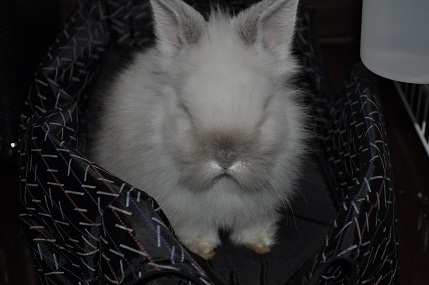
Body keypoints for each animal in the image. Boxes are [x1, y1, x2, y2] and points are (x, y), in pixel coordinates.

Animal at [92, 0, 310, 258]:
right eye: (186, 111)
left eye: (264, 110)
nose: (225, 159)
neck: (223, 187)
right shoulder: (181, 210)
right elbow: (195, 229)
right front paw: (203, 250)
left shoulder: (260, 207)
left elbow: (252, 225)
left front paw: (259, 245)